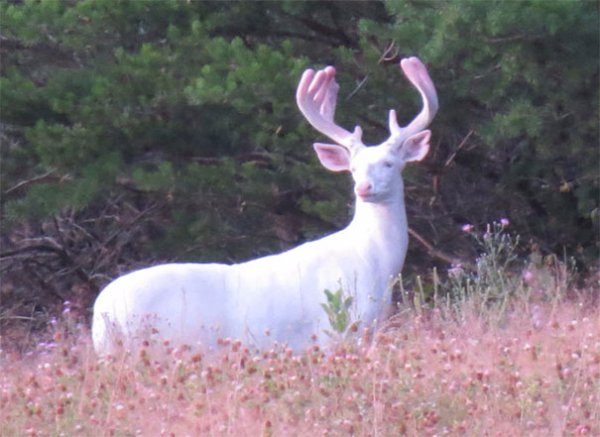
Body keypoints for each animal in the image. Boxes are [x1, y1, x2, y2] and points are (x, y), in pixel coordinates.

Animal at [91, 56, 436, 354]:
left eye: (390, 163)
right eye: (353, 168)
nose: (363, 187)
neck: (375, 261)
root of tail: (102, 311)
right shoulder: (336, 330)